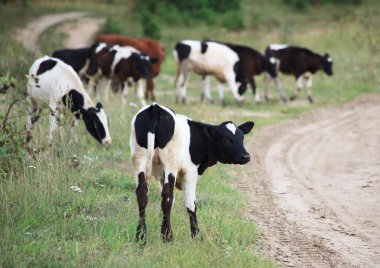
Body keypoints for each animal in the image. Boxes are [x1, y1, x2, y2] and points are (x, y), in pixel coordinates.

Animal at [129, 102, 254, 241]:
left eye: (242, 138)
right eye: (226, 139)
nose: (246, 156)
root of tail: (155, 108)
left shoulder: (162, 176)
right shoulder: (190, 172)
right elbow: (191, 204)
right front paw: (196, 236)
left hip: (139, 159)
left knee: (142, 194)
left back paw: (140, 235)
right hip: (170, 163)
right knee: (167, 197)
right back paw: (168, 237)